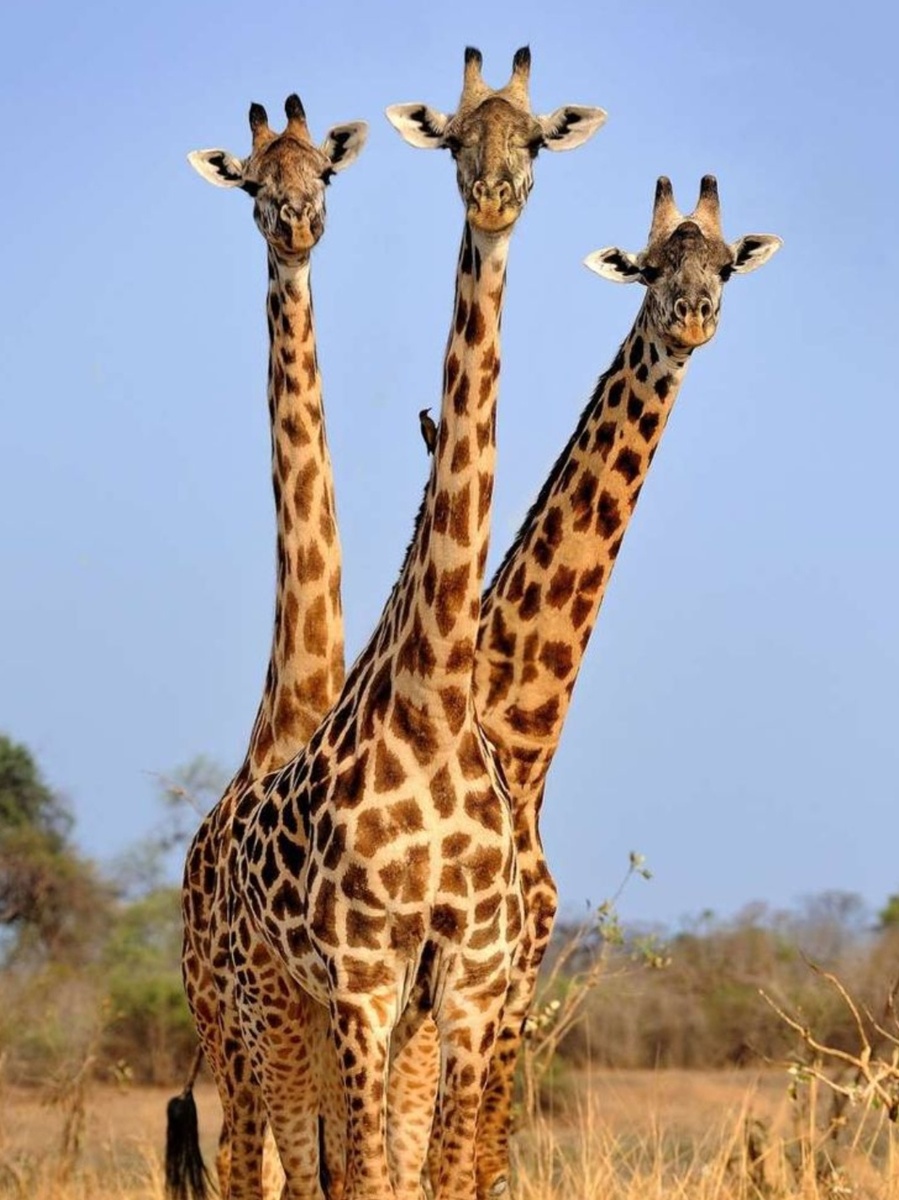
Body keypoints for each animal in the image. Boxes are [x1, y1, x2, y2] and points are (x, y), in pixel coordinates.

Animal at [220, 47, 605, 1200]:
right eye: (453, 141)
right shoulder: (362, 975)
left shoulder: (469, 983)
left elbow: (438, 1173)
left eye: (533, 141)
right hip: (268, 1003)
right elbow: (365, 1178)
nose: (495, 196)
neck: (436, 702)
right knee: (273, 1163)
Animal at [389, 173, 783, 1198]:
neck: (522, 737)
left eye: (723, 266)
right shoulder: (476, 970)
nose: (692, 316)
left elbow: (481, 1158)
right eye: (646, 269)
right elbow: (450, 1162)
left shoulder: (515, 970)